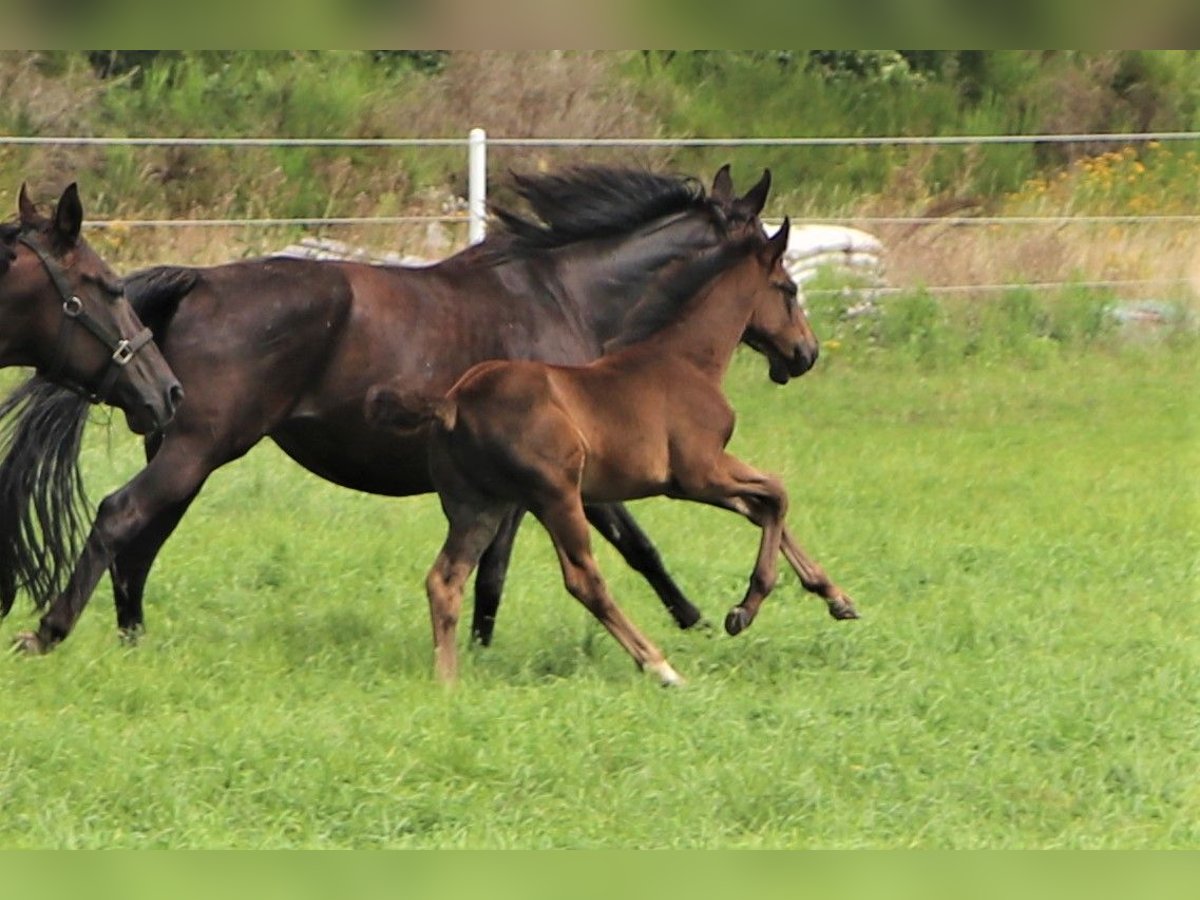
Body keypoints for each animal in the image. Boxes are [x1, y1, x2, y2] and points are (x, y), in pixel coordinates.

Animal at [369, 222, 859, 686]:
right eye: (789, 289)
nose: (807, 353)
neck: (687, 360)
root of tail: (454, 401)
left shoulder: (687, 484)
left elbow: (762, 510)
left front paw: (837, 598)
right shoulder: (701, 471)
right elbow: (777, 493)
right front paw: (745, 609)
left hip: (478, 506)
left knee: (444, 580)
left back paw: (448, 682)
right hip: (556, 496)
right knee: (583, 579)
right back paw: (661, 668)